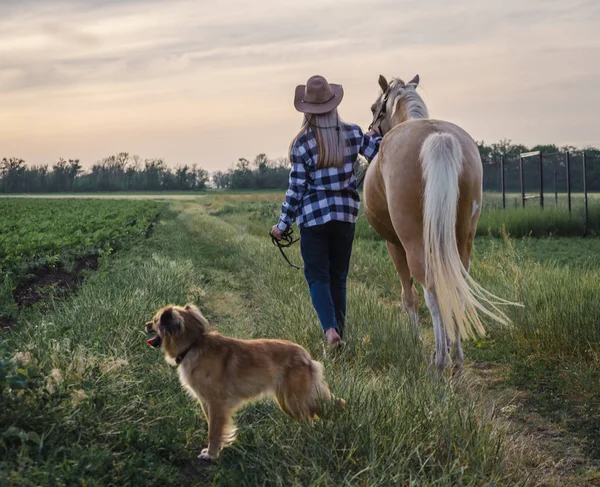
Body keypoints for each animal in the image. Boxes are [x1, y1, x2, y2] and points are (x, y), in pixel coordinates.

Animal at [143, 304, 344, 464]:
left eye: (155, 320)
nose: (146, 325)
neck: (193, 344)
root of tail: (307, 357)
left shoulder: (216, 404)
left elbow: (213, 431)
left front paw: (212, 454)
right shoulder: (206, 403)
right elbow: (213, 427)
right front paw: (215, 449)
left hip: (294, 400)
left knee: (309, 420)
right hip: (288, 401)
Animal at [360, 74, 510, 370]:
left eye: (374, 107)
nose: (370, 132)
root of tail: (437, 136)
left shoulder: (394, 244)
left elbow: (409, 296)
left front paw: (415, 340)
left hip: (413, 243)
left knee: (429, 289)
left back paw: (441, 360)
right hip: (463, 238)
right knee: (456, 285)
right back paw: (457, 356)